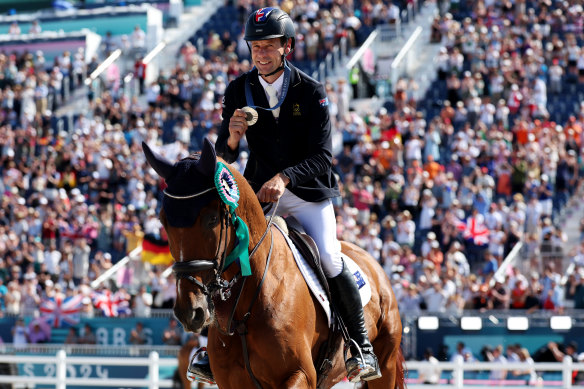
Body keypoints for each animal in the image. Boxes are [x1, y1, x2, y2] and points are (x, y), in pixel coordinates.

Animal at [144, 140, 404, 388]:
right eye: (163, 221)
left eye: (212, 219)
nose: (190, 312)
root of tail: (374, 264)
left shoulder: (300, 375)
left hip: (387, 362)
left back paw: (364, 357)